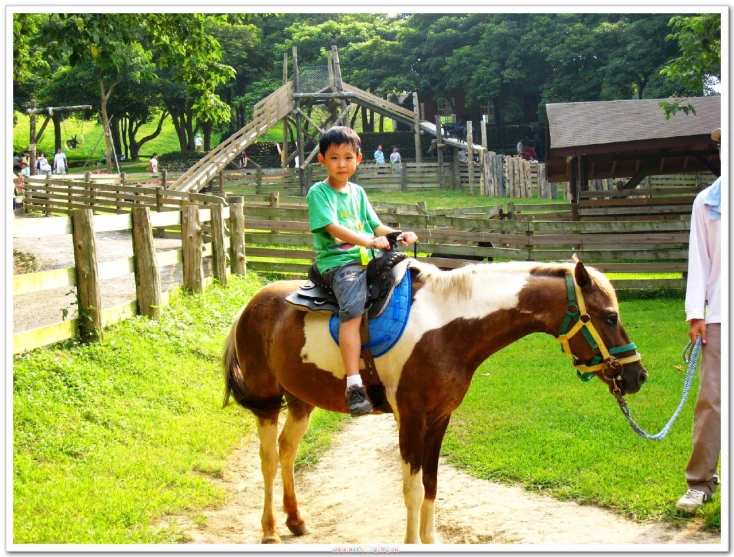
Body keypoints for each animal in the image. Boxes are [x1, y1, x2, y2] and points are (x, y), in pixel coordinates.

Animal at [221, 260, 648, 544]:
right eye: (610, 317)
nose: (637, 376)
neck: (446, 328)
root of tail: (249, 305)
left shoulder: (440, 418)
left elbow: (431, 483)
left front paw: (430, 540)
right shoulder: (410, 419)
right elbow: (411, 488)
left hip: (300, 402)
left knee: (288, 451)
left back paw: (295, 520)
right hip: (266, 401)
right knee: (269, 458)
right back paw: (270, 531)